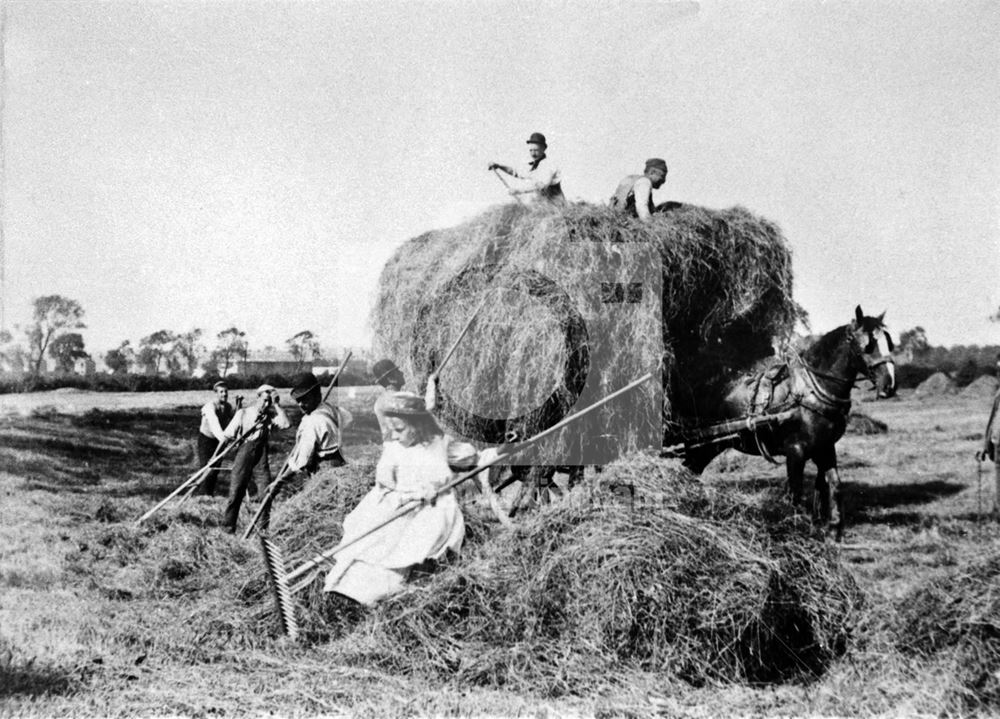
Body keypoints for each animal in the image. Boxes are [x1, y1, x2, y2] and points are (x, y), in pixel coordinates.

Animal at [684, 306, 896, 544]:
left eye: (889, 342)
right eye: (868, 345)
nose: (890, 385)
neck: (810, 391)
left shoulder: (825, 448)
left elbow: (834, 485)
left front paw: (833, 530)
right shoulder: (796, 451)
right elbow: (794, 493)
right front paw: (794, 531)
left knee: (691, 469)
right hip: (705, 444)